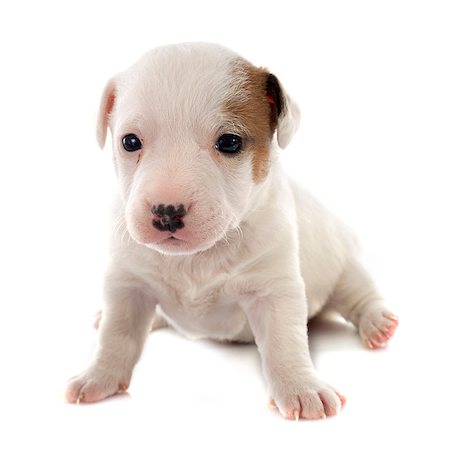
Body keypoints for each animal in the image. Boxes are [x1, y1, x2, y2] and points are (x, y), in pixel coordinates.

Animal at [66, 42, 398, 418]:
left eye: (229, 142)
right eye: (130, 141)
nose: (167, 212)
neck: (196, 258)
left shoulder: (275, 290)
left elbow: (285, 342)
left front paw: (301, 388)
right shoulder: (128, 285)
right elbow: (116, 335)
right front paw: (99, 376)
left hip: (342, 264)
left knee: (359, 293)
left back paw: (378, 322)